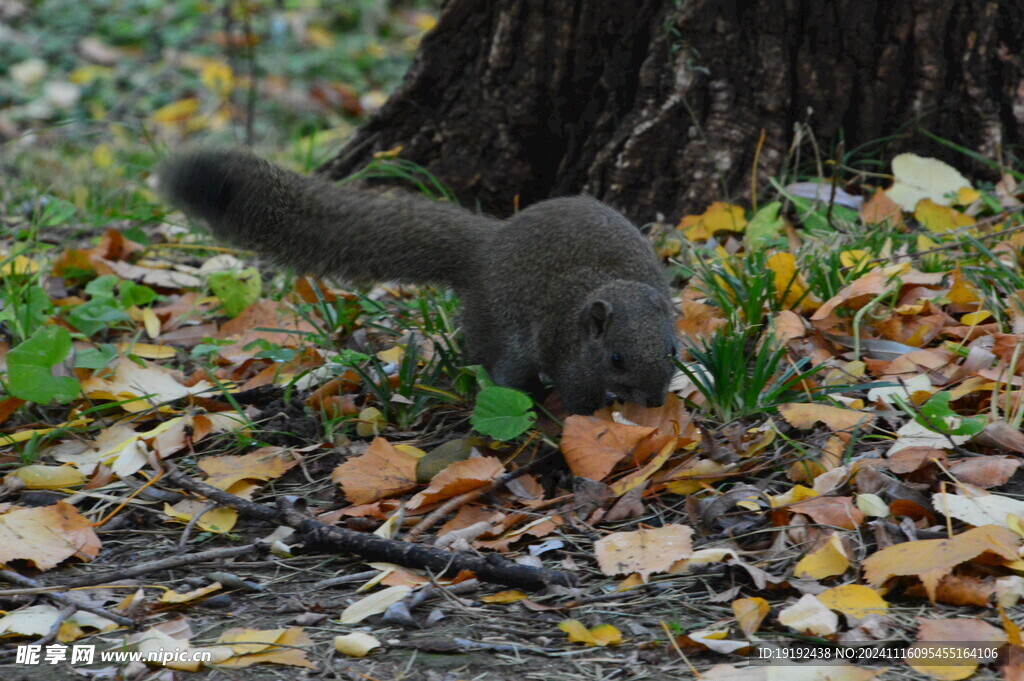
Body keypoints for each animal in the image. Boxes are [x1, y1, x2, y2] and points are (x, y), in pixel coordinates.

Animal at [155, 150, 675, 413]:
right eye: (616, 357)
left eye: (673, 349)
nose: (654, 401)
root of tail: (488, 246)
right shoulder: (566, 355)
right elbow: (579, 398)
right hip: (497, 331)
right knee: (498, 369)